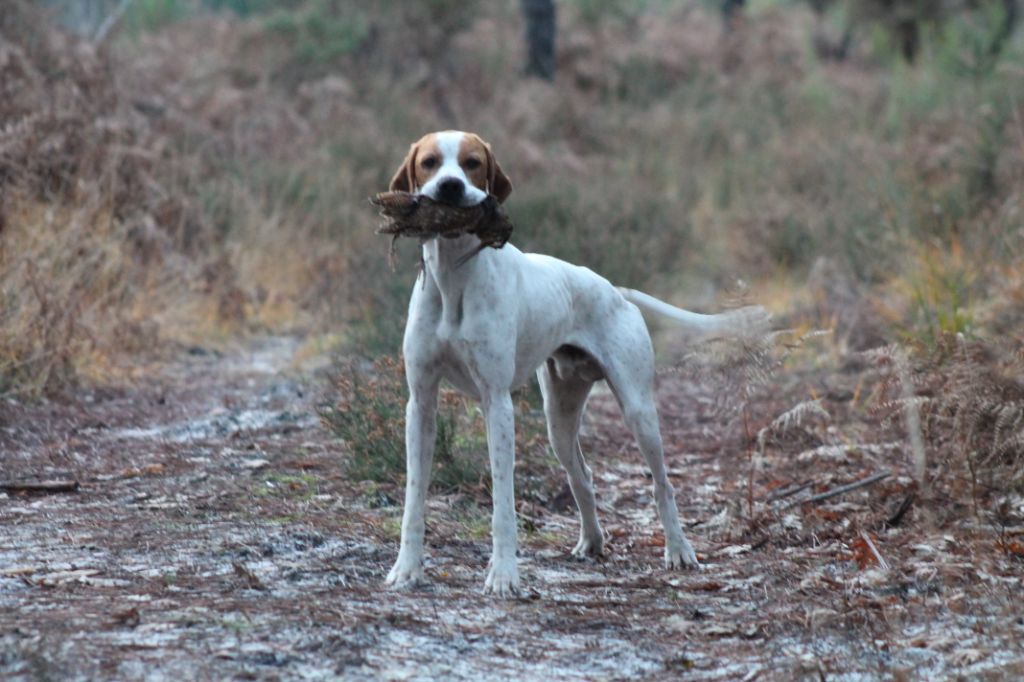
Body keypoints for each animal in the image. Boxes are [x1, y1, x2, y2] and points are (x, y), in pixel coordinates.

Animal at [385, 130, 770, 593]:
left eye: (472, 163)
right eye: (428, 163)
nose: (450, 188)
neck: (453, 278)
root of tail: (615, 290)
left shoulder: (497, 403)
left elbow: (503, 504)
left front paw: (504, 575)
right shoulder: (421, 403)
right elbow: (413, 499)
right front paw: (407, 568)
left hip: (639, 412)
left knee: (663, 485)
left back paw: (678, 550)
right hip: (559, 419)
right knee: (582, 475)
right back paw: (592, 541)